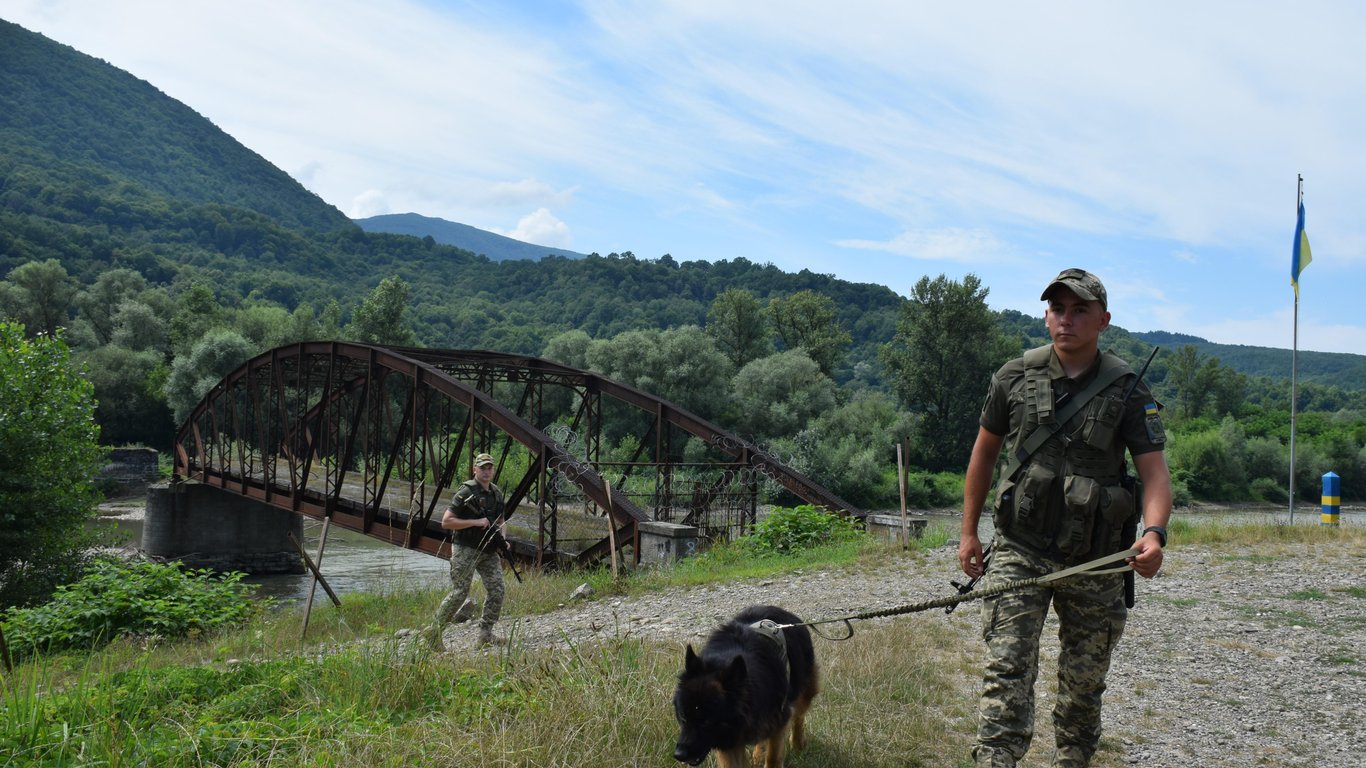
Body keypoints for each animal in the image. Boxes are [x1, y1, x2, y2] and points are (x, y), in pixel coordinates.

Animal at [674, 604, 819, 765]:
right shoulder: (730, 741)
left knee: (798, 717)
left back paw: (798, 744)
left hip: (804, 692)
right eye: (683, 718)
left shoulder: (779, 722)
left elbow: (773, 757)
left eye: (706, 722)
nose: (679, 755)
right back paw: (759, 754)